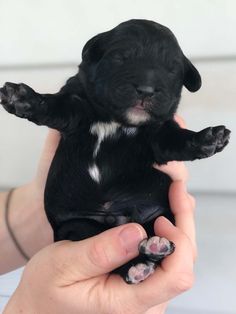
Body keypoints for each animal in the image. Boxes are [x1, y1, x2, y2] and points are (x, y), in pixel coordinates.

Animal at [0, 20, 230, 284]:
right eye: (121, 57)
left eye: (171, 69)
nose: (146, 90)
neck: (117, 120)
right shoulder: (74, 103)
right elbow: (54, 105)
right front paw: (22, 97)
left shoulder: (159, 135)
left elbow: (175, 140)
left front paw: (209, 138)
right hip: (78, 226)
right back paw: (137, 265)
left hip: (158, 216)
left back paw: (154, 248)